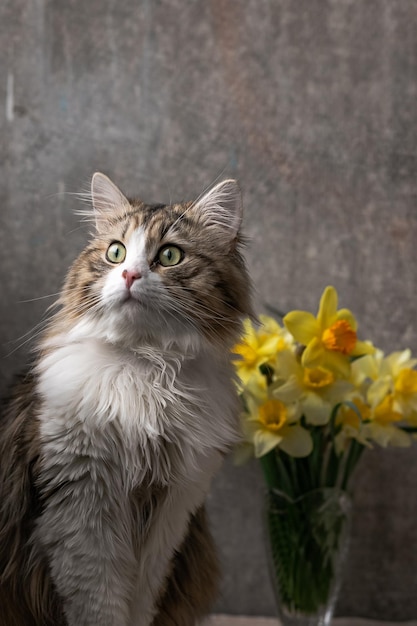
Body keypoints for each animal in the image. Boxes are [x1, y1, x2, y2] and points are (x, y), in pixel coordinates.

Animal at [0, 172, 252, 624]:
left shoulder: (172, 511)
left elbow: (140, 599)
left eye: (169, 255)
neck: (146, 365)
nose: (130, 276)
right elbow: (100, 603)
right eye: (115, 252)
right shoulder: (81, 505)